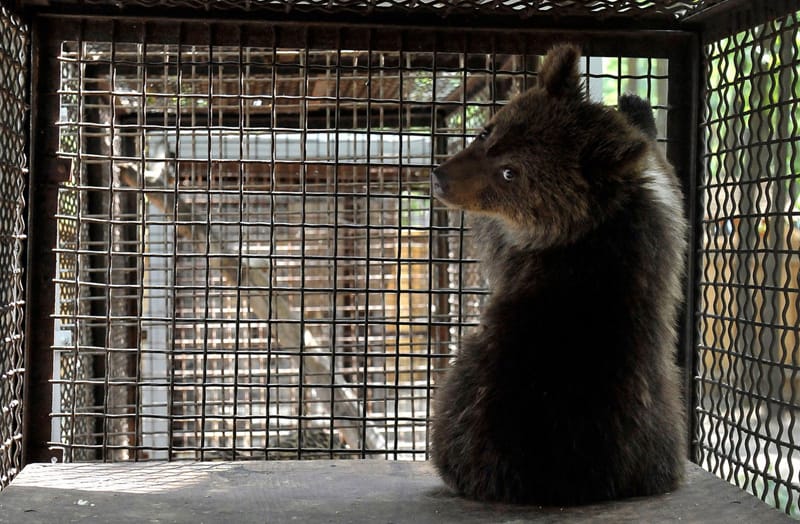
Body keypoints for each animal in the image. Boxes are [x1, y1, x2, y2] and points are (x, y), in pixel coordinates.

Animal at [429, 43, 687, 506]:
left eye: (510, 172)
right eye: (485, 134)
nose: (440, 177)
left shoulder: (524, 246)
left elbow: (491, 237)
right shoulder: (659, 227)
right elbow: (667, 175)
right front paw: (636, 108)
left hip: (472, 398)